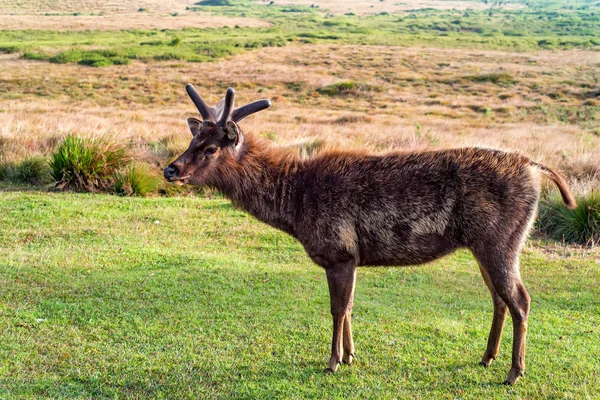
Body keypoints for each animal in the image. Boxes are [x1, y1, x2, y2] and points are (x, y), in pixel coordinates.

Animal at [163, 84, 576, 384]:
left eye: (210, 148)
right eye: (191, 140)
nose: (171, 169)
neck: (294, 206)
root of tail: (536, 168)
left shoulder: (338, 250)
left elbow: (337, 308)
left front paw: (332, 361)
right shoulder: (352, 257)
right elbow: (349, 307)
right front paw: (350, 355)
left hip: (501, 240)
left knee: (520, 299)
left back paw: (514, 372)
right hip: (484, 245)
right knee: (499, 298)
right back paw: (487, 357)